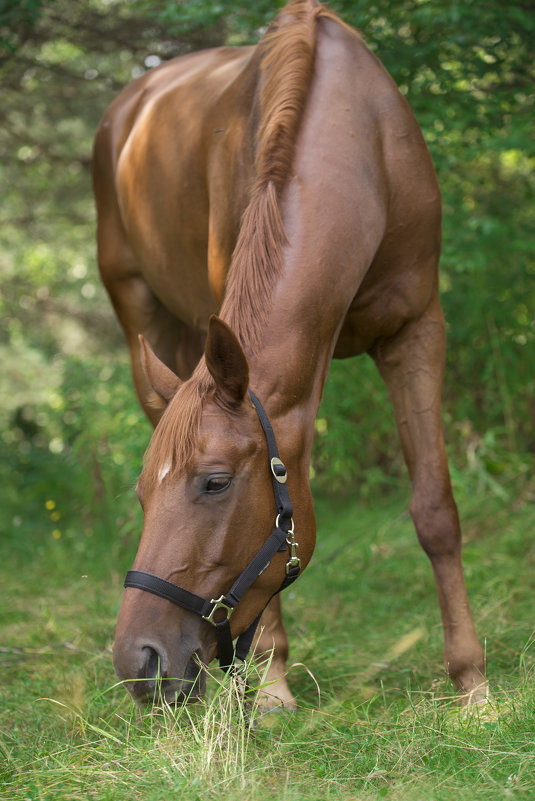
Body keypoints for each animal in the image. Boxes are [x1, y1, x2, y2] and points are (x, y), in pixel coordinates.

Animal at [94, 0, 488, 708]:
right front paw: (273, 685)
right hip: (142, 311)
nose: (140, 662)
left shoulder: (416, 330)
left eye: (215, 482)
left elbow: (436, 509)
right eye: (139, 495)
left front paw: (472, 683)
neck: (358, 149)